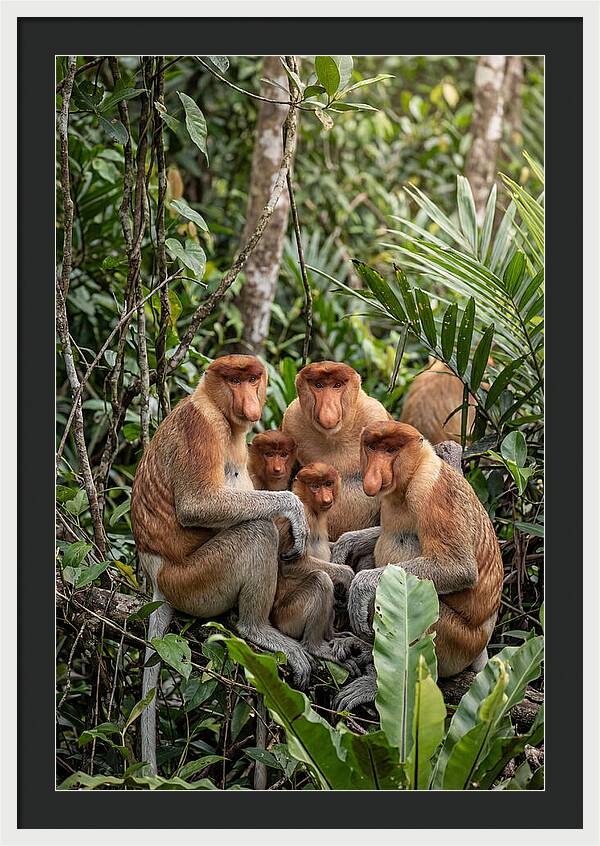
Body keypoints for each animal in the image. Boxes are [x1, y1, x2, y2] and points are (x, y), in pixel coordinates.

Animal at [131, 354, 312, 774]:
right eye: (234, 380)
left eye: (253, 378)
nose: (250, 401)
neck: (215, 405)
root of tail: (157, 579)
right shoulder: (202, 427)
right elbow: (198, 505)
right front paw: (294, 510)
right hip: (195, 581)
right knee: (256, 531)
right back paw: (255, 628)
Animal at [282, 361, 390, 543]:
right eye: (318, 385)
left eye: (337, 385)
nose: (328, 411)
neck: (333, 437)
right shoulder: (291, 420)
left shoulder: (374, 414)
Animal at [331, 421, 503, 712]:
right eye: (373, 447)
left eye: (391, 450)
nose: (374, 474)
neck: (412, 474)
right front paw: (345, 544)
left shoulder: (432, 492)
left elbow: (458, 567)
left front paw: (361, 586)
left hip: (458, 642)